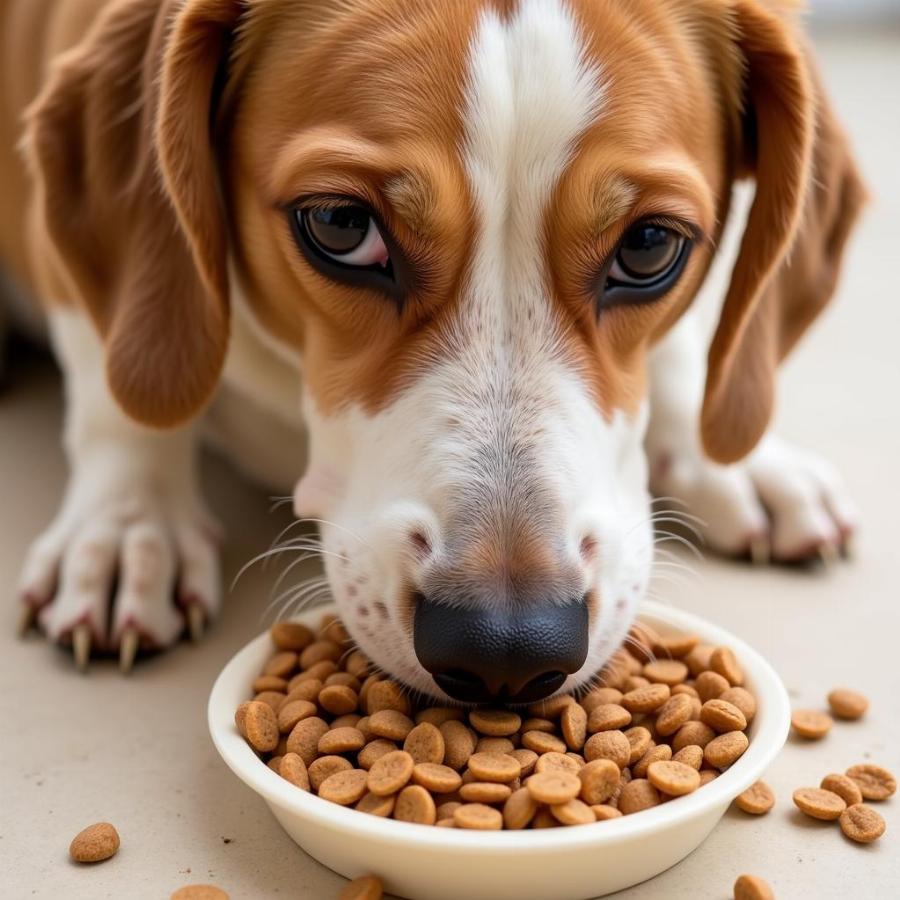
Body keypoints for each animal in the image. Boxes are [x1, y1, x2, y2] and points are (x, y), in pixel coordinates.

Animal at [3, 0, 868, 696]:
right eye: (340, 226)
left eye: (651, 246)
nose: (508, 650)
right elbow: (118, 391)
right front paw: (128, 525)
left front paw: (731, 456)